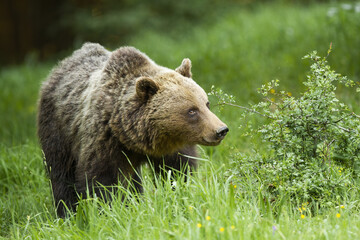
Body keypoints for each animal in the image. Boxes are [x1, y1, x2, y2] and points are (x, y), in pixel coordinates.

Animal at [36, 42, 228, 218]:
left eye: (206, 103)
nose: (221, 130)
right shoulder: (103, 140)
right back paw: (66, 213)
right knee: (61, 173)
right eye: (191, 111)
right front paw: (108, 213)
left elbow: (176, 171)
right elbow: (101, 180)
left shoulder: (173, 146)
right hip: (57, 128)